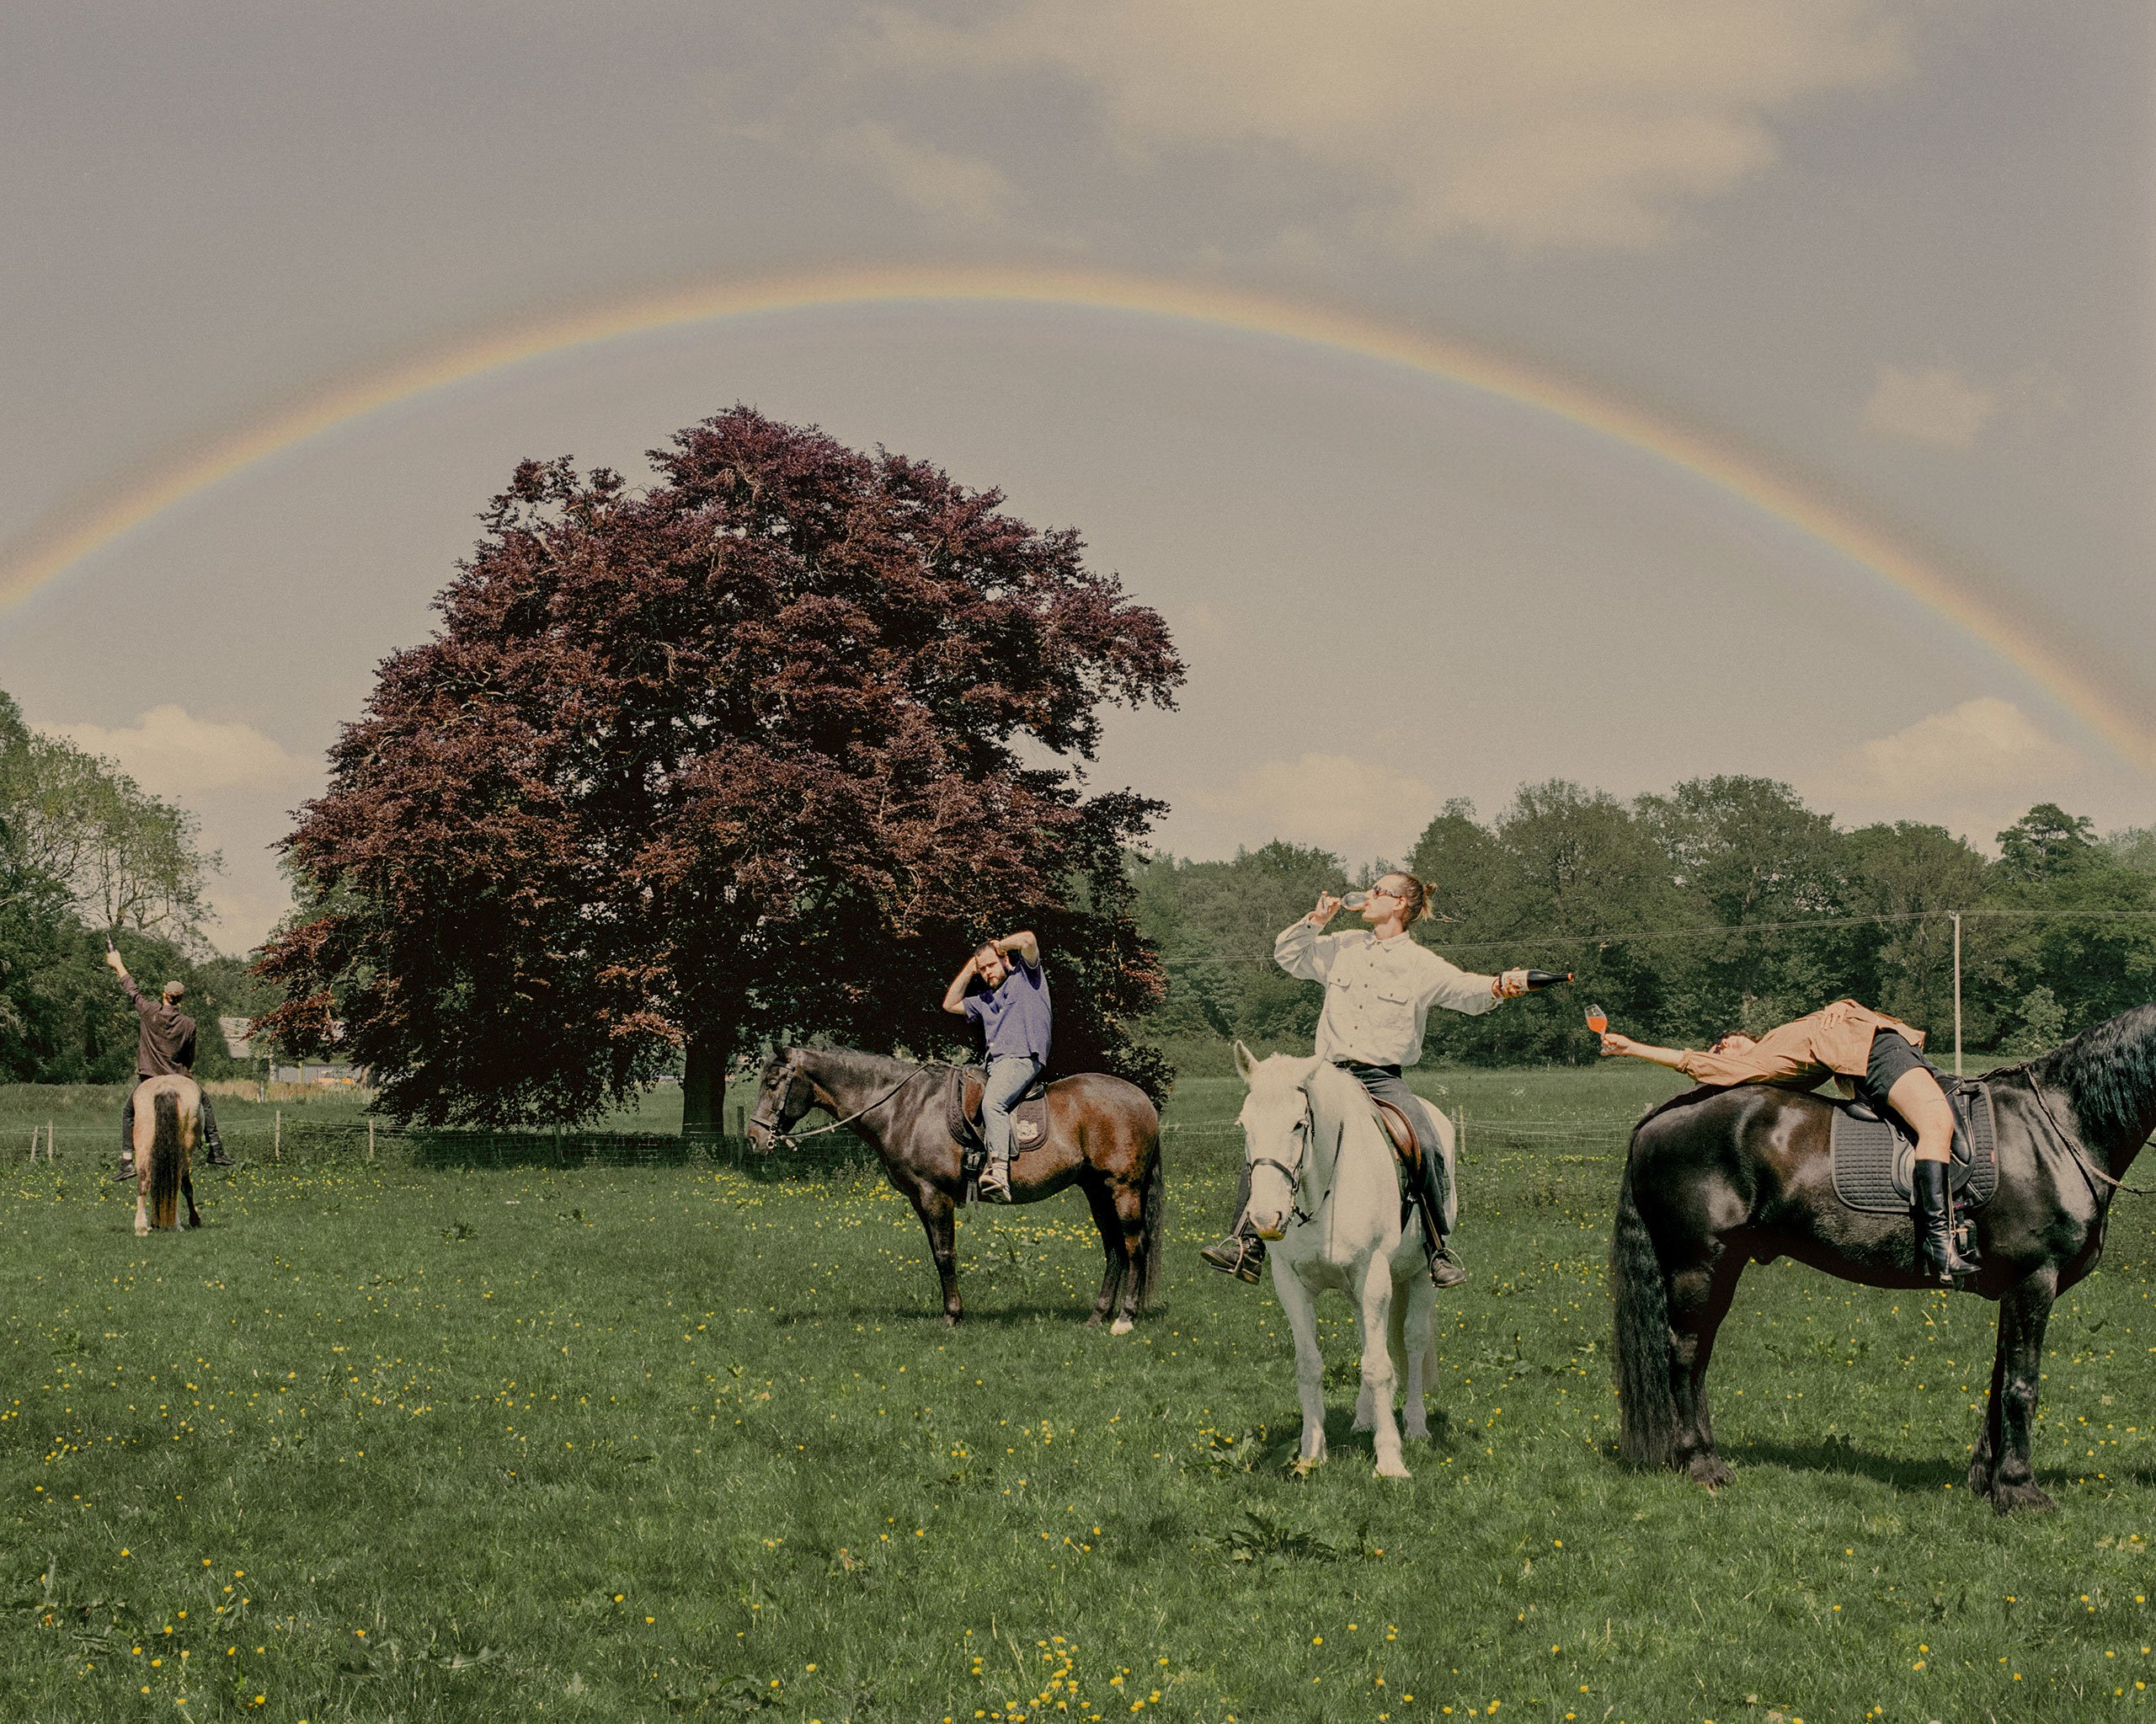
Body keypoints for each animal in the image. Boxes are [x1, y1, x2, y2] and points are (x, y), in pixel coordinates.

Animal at [128, 1069, 203, 1232]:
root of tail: (166, 1088)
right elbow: (186, 1187)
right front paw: (194, 1220)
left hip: (144, 1143)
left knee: (144, 1180)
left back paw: (141, 1226)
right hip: (185, 1150)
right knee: (178, 1182)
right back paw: (177, 1224)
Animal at [750, 1038, 1172, 1336]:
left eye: (772, 1083)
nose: (755, 1138)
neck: (907, 1107)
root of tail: (1142, 1100)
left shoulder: (934, 1195)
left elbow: (945, 1255)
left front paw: (952, 1316)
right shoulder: (920, 1200)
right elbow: (938, 1255)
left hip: (1122, 1188)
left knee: (1134, 1246)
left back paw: (1125, 1317)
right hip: (1096, 1189)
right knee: (1114, 1249)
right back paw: (1098, 1315)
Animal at [1241, 1043, 1440, 1474]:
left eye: (1299, 1124)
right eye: (1244, 1125)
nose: (1265, 1218)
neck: (1323, 1194)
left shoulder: (1374, 1275)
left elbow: (1380, 1366)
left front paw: (1390, 1460)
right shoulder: (1291, 1285)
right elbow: (1310, 1366)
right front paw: (1310, 1453)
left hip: (1419, 1277)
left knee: (1413, 1343)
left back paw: (1416, 1426)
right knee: (1369, 1338)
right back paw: (1364, 1419)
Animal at [1621, 995, 2156, 1508]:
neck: (2056, 1129)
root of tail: (1659, 1116)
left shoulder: (2015, 1291)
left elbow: (2001, 1380)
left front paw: (1988, 1480)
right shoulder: (2034, 1281)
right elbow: (2022, 1387)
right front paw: (2020, 1490)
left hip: (1724, 1267)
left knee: (1699, 1356)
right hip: (1697, 1265)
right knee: (1685, 1354)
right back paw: (1701, 1464)